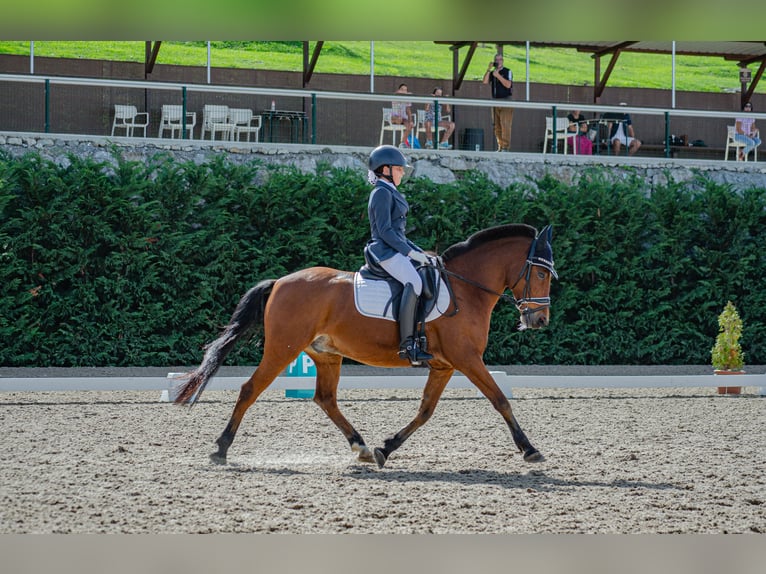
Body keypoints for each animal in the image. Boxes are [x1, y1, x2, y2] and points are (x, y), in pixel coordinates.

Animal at [174, 223, 560, 470]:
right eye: (541, 273)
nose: (539, 320)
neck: (466, 290)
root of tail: (281, 281)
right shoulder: (467, 359)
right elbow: (500, 400)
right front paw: (531, 450)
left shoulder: (445, 365)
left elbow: (425, 410)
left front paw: (385, 448)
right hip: (283, 349)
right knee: (250, 389)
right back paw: (221, 449)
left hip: (326, 355)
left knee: (325, 399)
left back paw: (360, 447)